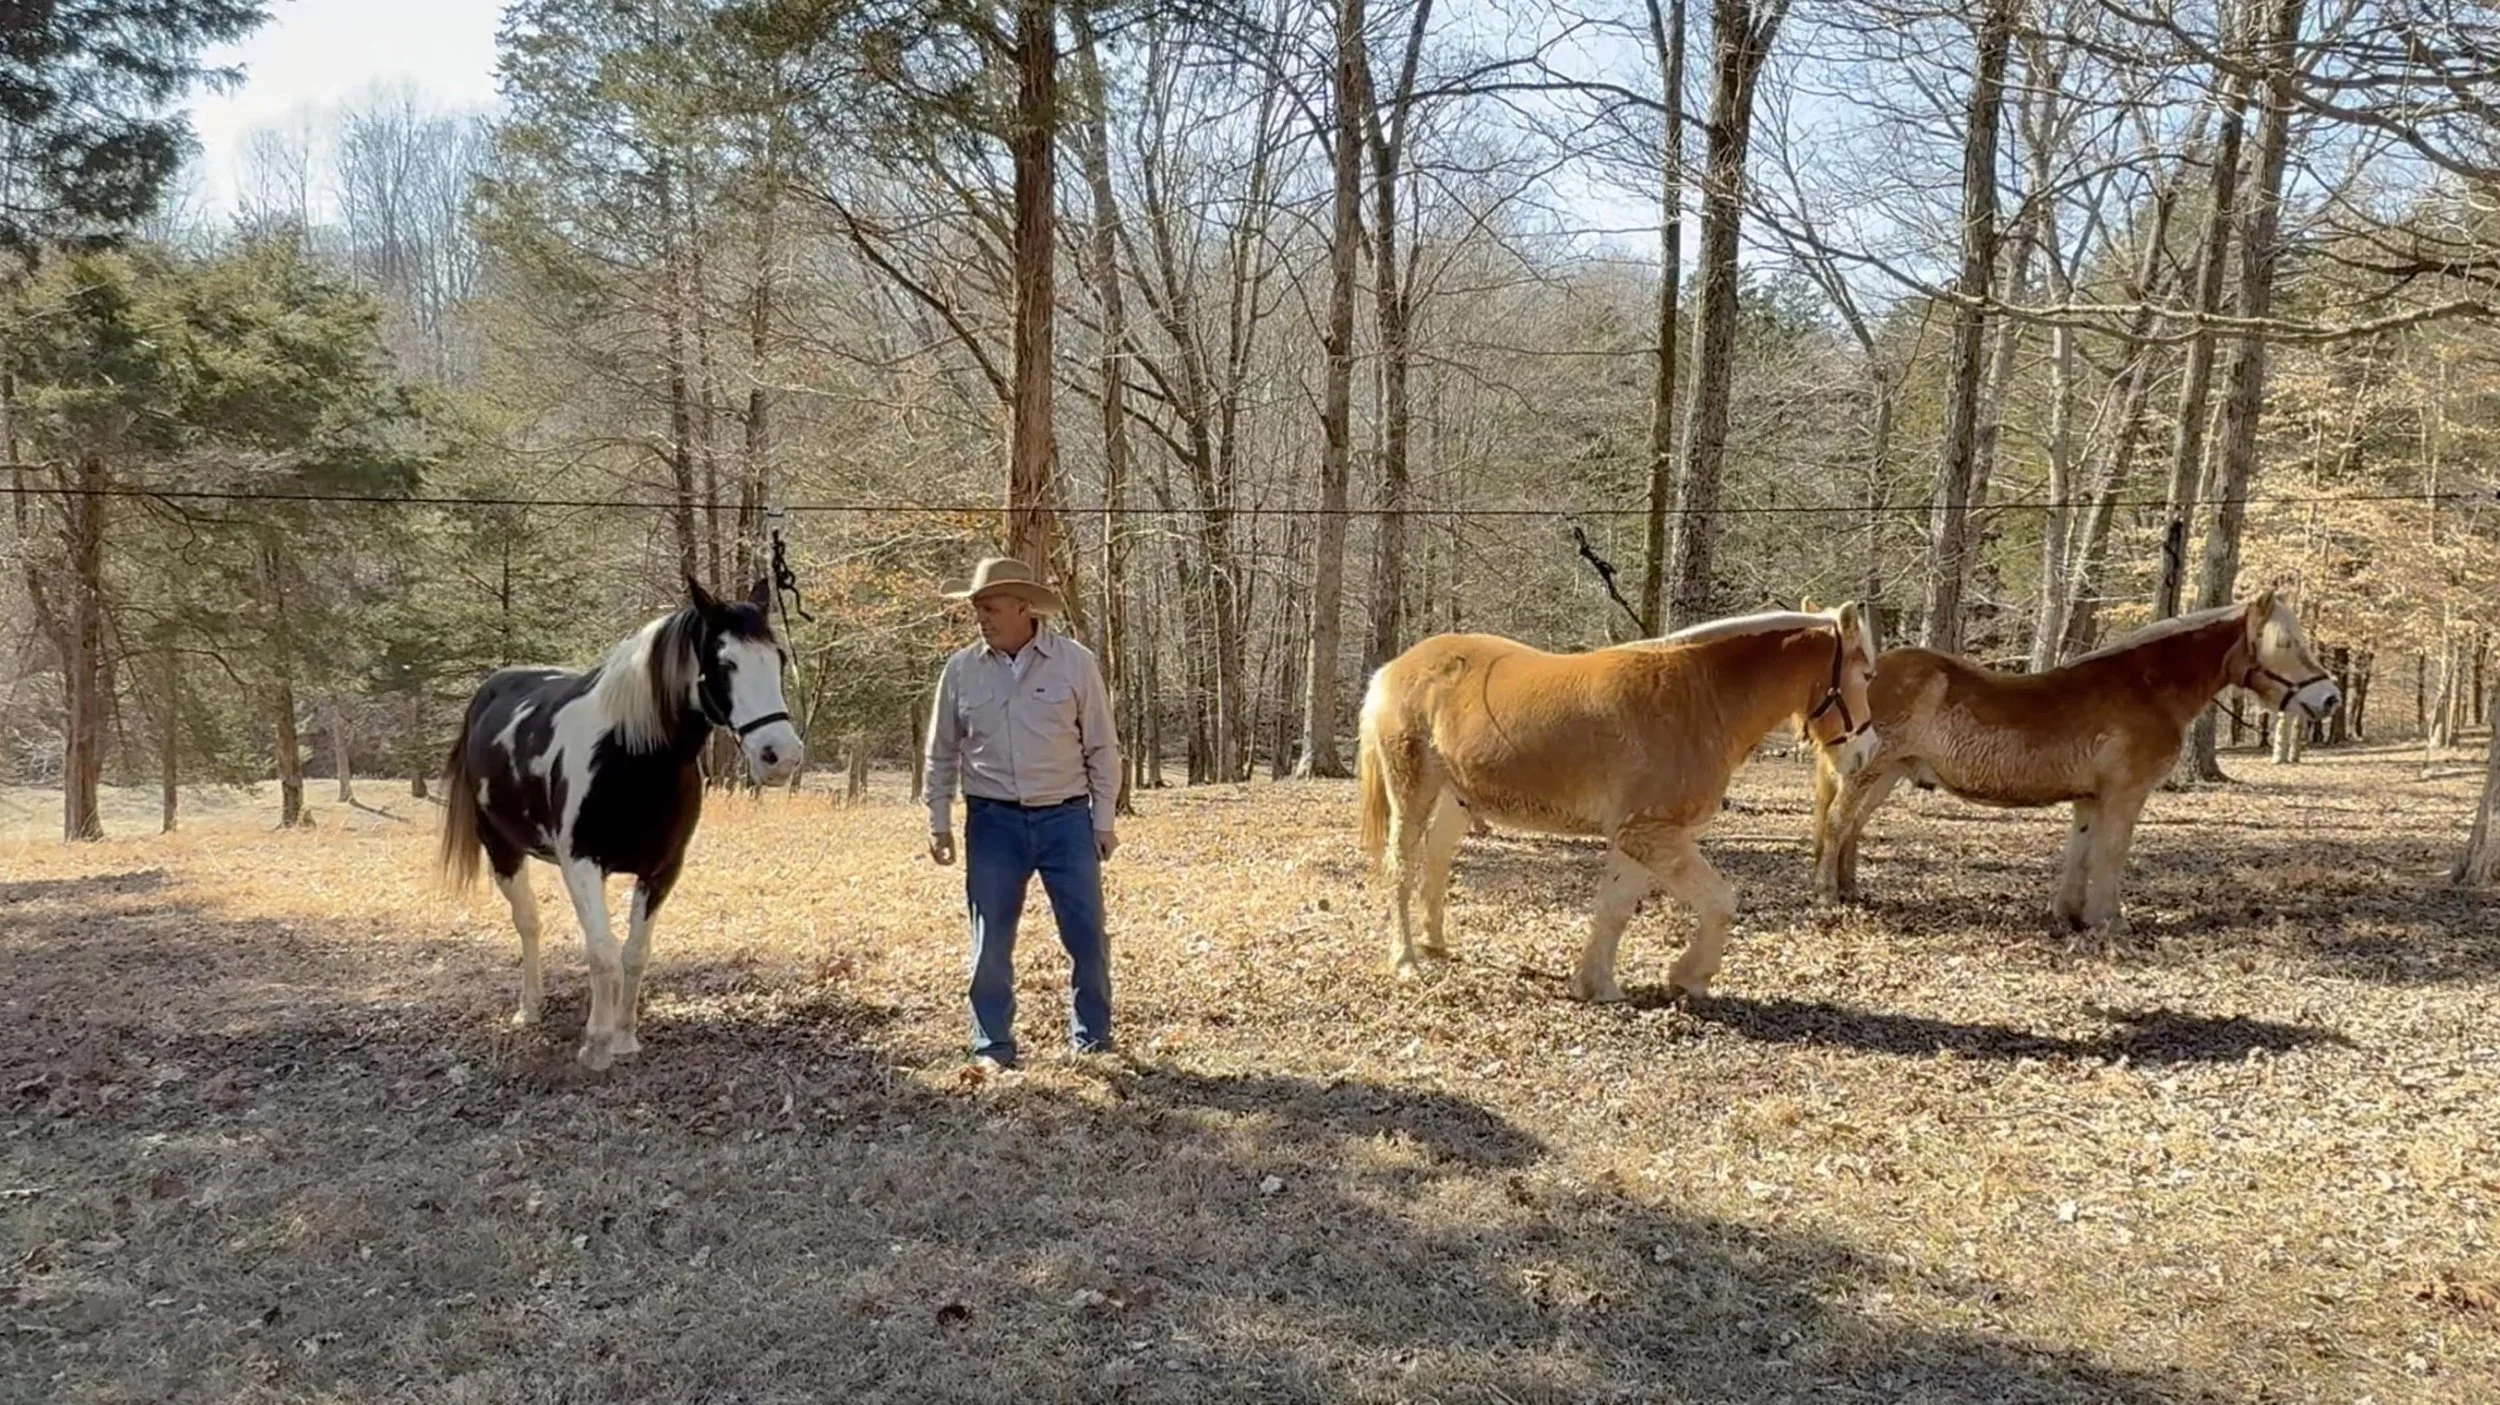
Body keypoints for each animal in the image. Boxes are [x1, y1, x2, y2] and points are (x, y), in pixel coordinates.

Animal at [437, 576, 805, 1069]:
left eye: (778, 659)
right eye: (725, 662)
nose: (780, 756)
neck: (630, 755)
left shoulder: (662, 871)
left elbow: (633, 953)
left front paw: (625, 1036)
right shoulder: (581, 865)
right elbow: (603, 953)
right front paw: (597, 1043)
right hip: (502, 849)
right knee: (529, 923)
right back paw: (529, 1007)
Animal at [1355, 603, 1882, 1003]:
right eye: (1867, 673)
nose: (1866, 751)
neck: (1699, 697)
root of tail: (1392, 670)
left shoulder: (1639, 837)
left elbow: (1615, 907)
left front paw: (1597, 985)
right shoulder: (1652, 834)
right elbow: (1719, 900)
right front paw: (1689, 976)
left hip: (1456, 799)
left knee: (1437, 861)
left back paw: (1436, 943)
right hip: (1412, 791)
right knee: (1402, 868)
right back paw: (1406, 961)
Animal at [1805, 590, 2340, 932]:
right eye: (2286, 643)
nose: (2330, 698)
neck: (2146, 688)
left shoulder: (2090, 799)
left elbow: (2080, 853)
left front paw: (2070, 914)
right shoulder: (2124, 796)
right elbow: (2111, 853)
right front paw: (2108, 921)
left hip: (1885, 773)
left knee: (1853, 827)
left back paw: (1850, 889)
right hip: (1870, 771)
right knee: (1838, 824)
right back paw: (1828, 896)